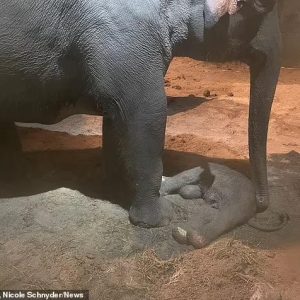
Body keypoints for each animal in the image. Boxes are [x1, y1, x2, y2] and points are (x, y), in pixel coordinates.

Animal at [0, 0, 282, 227]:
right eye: (262, 5)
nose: (261, 207)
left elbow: (116, 117)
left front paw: (116, 190)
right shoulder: (124, 37)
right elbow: (147, 112)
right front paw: (159, 219)